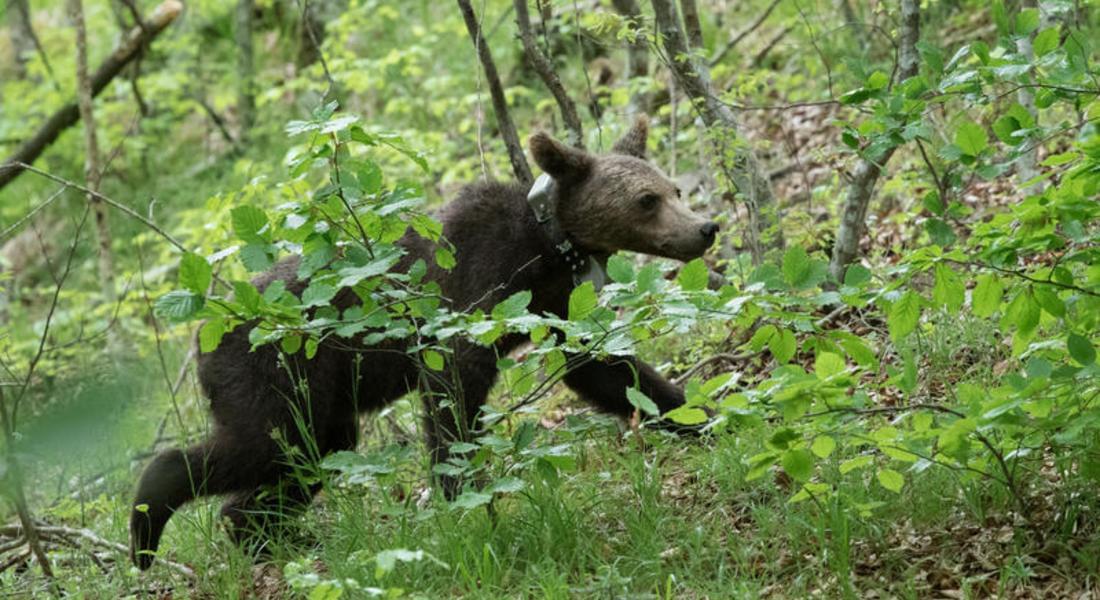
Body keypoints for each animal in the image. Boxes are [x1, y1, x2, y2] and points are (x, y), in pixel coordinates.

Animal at [128, 115, 717, 568]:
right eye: (646, 199)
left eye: (674, 189)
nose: (705, 227)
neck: (548, 250)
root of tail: (201, 335)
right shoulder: (472, 297)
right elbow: (453, 393)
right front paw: (467, 505)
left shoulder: (558, 306)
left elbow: (606, 371)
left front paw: (701, 417)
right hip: (271, 374)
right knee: (256, 445)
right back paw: (147, 529)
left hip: (323, 404)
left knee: (308, 455)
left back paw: (274, 539)